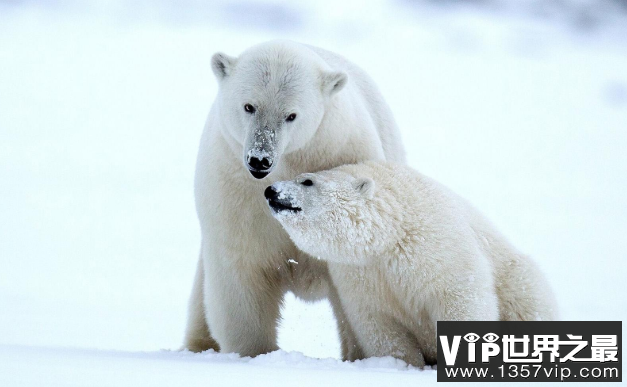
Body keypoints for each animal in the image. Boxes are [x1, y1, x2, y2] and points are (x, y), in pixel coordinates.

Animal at [184, 41, 404, 360]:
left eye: (291, 115)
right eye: (249, 106)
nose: (260, 159)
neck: (290, 163)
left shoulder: (342, 153)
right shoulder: (233, 191)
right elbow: (241, 275)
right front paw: (253, 353)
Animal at [264, 162, 560, 368]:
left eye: (307, 180)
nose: (270, 190)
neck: (390, 232)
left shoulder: (436, 245)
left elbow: (461, 299)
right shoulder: (360, 273)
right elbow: (379, 323)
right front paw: (402, 365)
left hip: (517, 279)